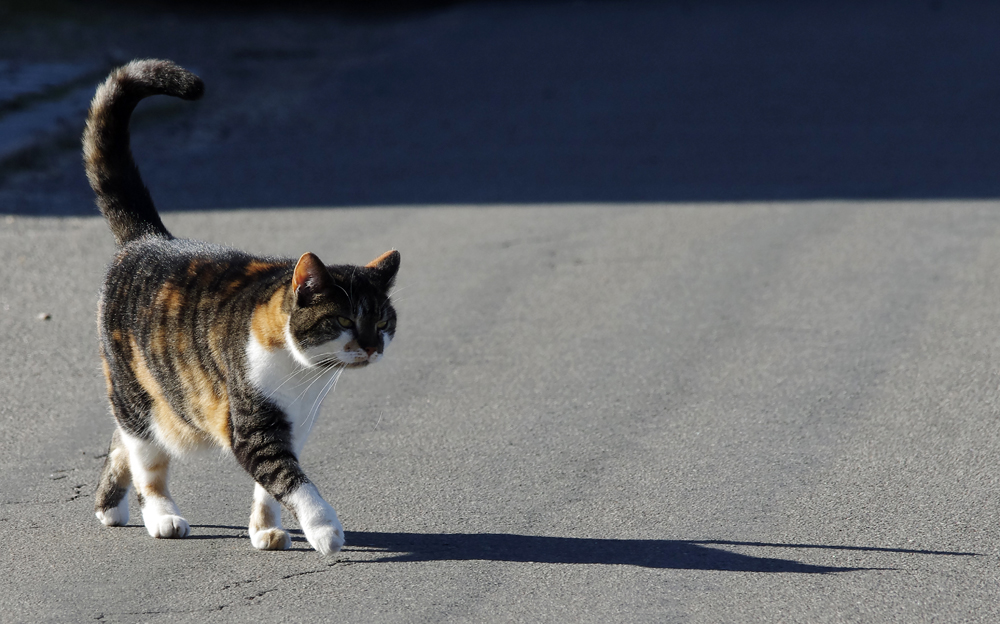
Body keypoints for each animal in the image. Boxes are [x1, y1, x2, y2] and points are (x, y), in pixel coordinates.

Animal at [86, 59, 398, 556]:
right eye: (344, 320)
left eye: (383, 321)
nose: (371, 347)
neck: (302, 374)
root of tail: (149, 238)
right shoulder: (252, 426)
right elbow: (293, 480)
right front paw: (325, 529)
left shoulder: (296, 425)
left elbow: (270, 487)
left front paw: (265, 529)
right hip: (136, 391)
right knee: (145, 457)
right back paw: (161, 515)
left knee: (123, 441)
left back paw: (109, 507)